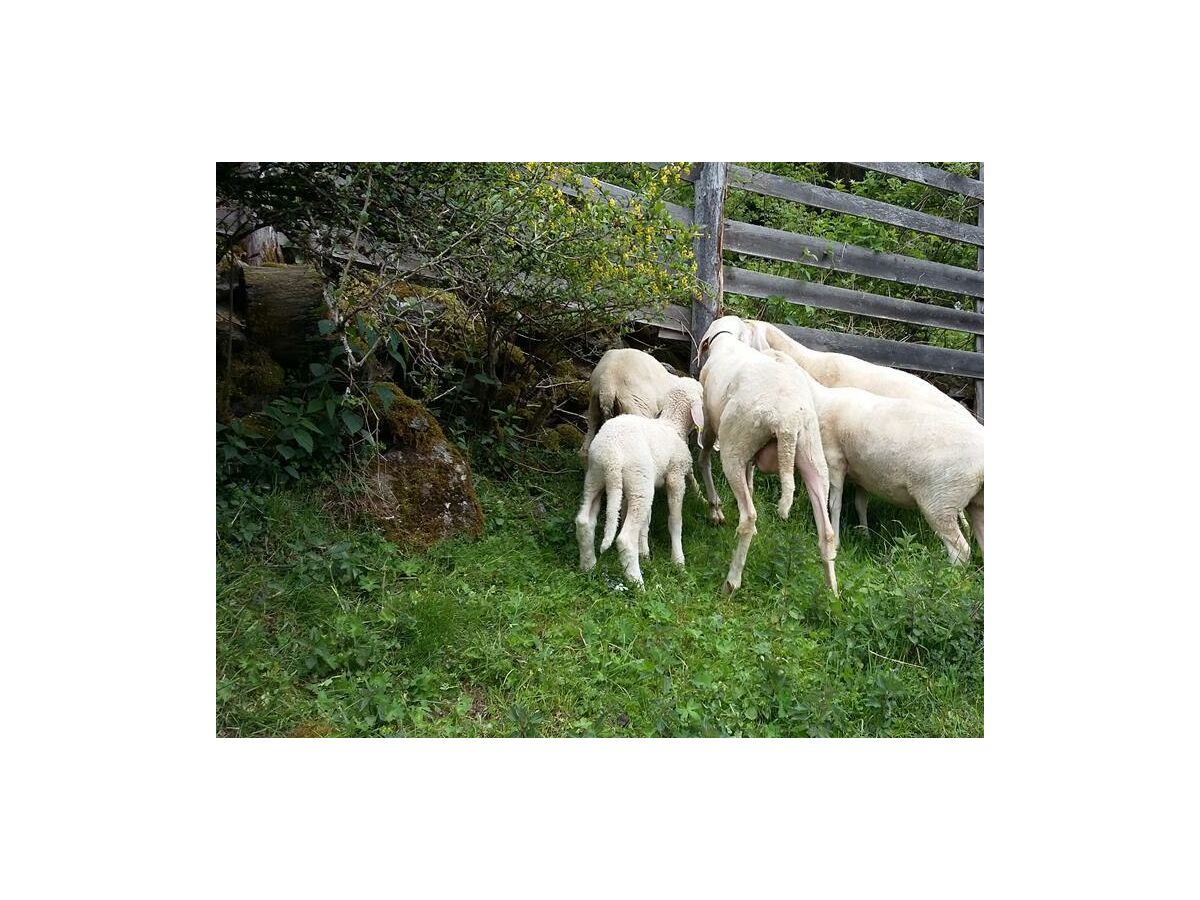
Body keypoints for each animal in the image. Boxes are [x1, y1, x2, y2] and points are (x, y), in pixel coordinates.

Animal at [575, 382, 705, 587]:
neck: (673, 425)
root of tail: (612, 456)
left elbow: (645, 520)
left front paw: (644, 554)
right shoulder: (675, 477)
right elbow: (675, 521)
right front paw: (678, 561)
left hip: (597, 478)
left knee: (584, 522)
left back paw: (589, 567)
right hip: (639, 483)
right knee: (625, 539)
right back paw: (637, 583)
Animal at [695, 316, 838, 595]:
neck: (727, 340)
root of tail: (788, 421)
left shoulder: (709, 423)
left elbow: (703, 459)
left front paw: (714, 509)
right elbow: (751, 480)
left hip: (734, 445)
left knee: (748, 516)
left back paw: (731, 582)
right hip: (811, 453)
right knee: (826, 532)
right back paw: (833, 593)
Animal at [758, 349, 983, 564]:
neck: (819, 401)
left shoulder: (835, 461)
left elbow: (834, 504)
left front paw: (837, 542)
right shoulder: (862, 473)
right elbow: (860, 504)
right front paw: (864, 534)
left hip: (940, 501)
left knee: (960, 550)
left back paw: (944, 573)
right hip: (975, 504)